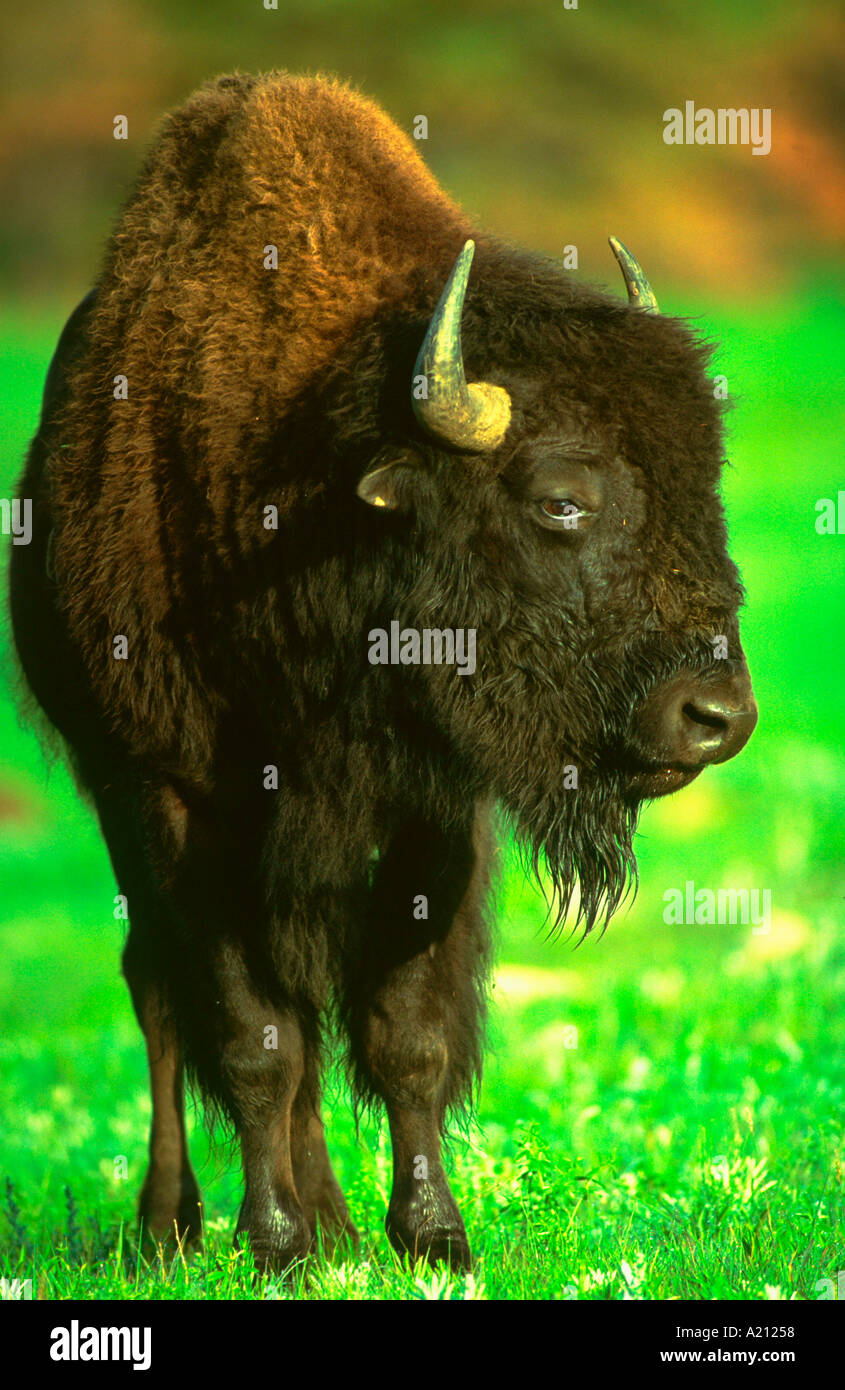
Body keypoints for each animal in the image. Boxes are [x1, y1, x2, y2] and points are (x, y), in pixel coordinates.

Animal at [9, 71, 757, 1274]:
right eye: (559, 499)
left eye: (706, 484)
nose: (713, 716)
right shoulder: (176, 794)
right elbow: (251, 1031)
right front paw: (270, 1243)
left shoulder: (430, 808)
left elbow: (405, 1030)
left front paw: (431, 1236)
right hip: (117, 790)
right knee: (163, 993)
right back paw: (178, 1226)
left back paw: (329, 1220)